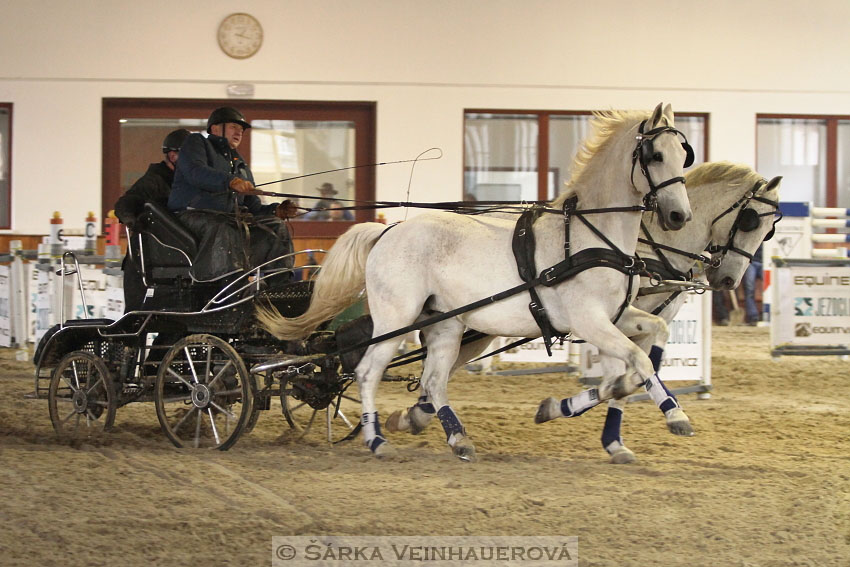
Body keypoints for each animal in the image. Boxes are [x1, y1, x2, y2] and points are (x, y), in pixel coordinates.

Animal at [258, 103, 688, 462]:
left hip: (445, 324)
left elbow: (650, 343)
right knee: (367, 372)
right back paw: (377, 440)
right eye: (656, 155)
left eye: (684, 153)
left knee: (434, 380)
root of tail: (387, 231)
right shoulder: (588, 321)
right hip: (396, 320)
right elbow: (636, 362)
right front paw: (674, 415)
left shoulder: (614, 317)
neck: (589, 236)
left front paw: (597, 403)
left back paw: (458, 439)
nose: (679, 216)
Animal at [536, 162, 780, 464]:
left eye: (769, 232)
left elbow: (632, 375)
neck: (656, 249)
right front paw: (673, 413)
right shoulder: (609, 319)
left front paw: (611, 440)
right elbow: (637, 370)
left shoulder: (647, 319)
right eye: (750, 221)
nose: (728, 281)